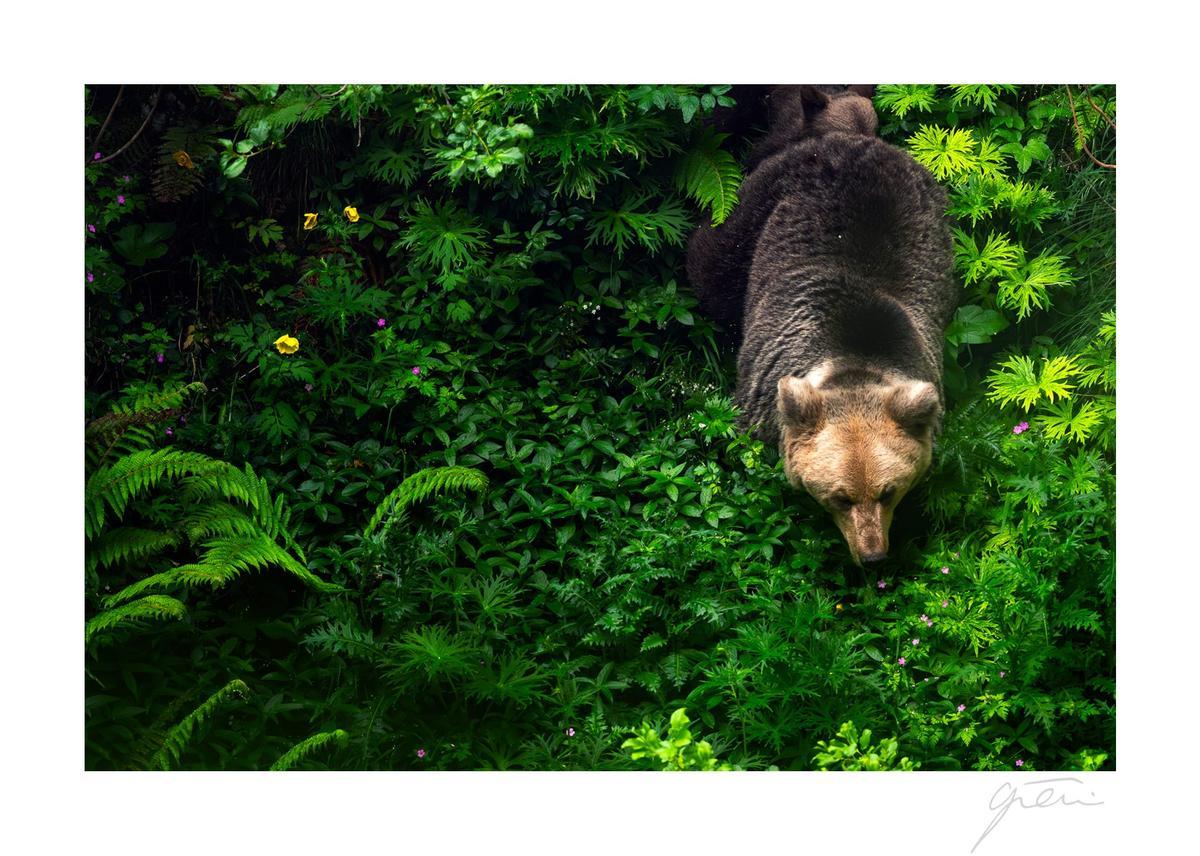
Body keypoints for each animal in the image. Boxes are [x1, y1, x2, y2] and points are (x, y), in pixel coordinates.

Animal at [686, 84, 957, 566]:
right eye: (840, 497)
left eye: (889, 491)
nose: (873, 556)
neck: (854, 360)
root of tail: (851, 137)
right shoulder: (762, 397)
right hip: (762, 201)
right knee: (711, 263)